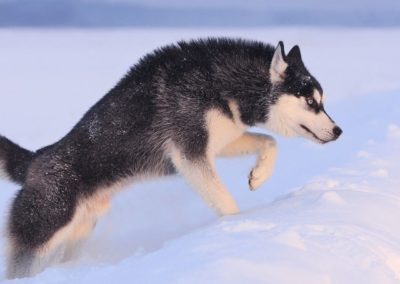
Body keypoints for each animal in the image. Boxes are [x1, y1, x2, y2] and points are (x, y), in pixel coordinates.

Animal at [0, 37, 340, 278]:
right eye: (311, 102)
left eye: (321, 101)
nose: (339, 131)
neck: (221, 83)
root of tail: (35, 160)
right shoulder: (190, 152)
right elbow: (224, 200)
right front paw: (237, 227)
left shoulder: (219, 139)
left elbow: (270, 142)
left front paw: (259, 175)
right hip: (43, 230)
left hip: (77, 232)